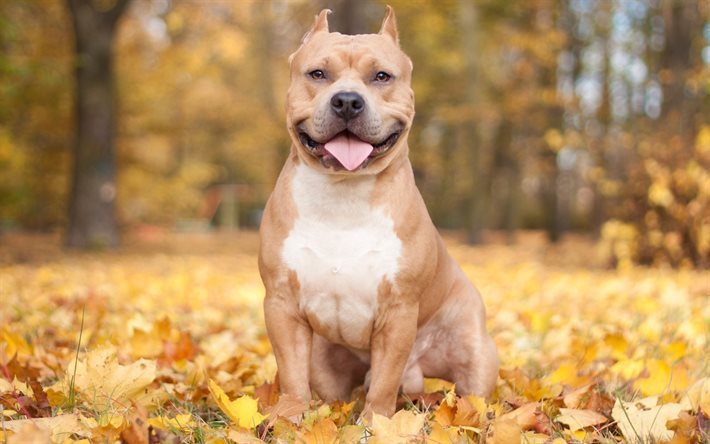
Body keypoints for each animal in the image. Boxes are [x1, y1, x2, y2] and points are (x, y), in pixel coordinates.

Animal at [258, 6, 498, 420]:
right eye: (317, 74)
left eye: (381, 76)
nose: (347, 101)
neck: (343, 194)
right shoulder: (281, 303)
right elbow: (291, 373)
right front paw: (290, 417)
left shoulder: (398, 311)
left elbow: (385, 380)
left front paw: (375, 423)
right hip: (324, 365)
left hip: (474, 352)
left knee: (469, 390)